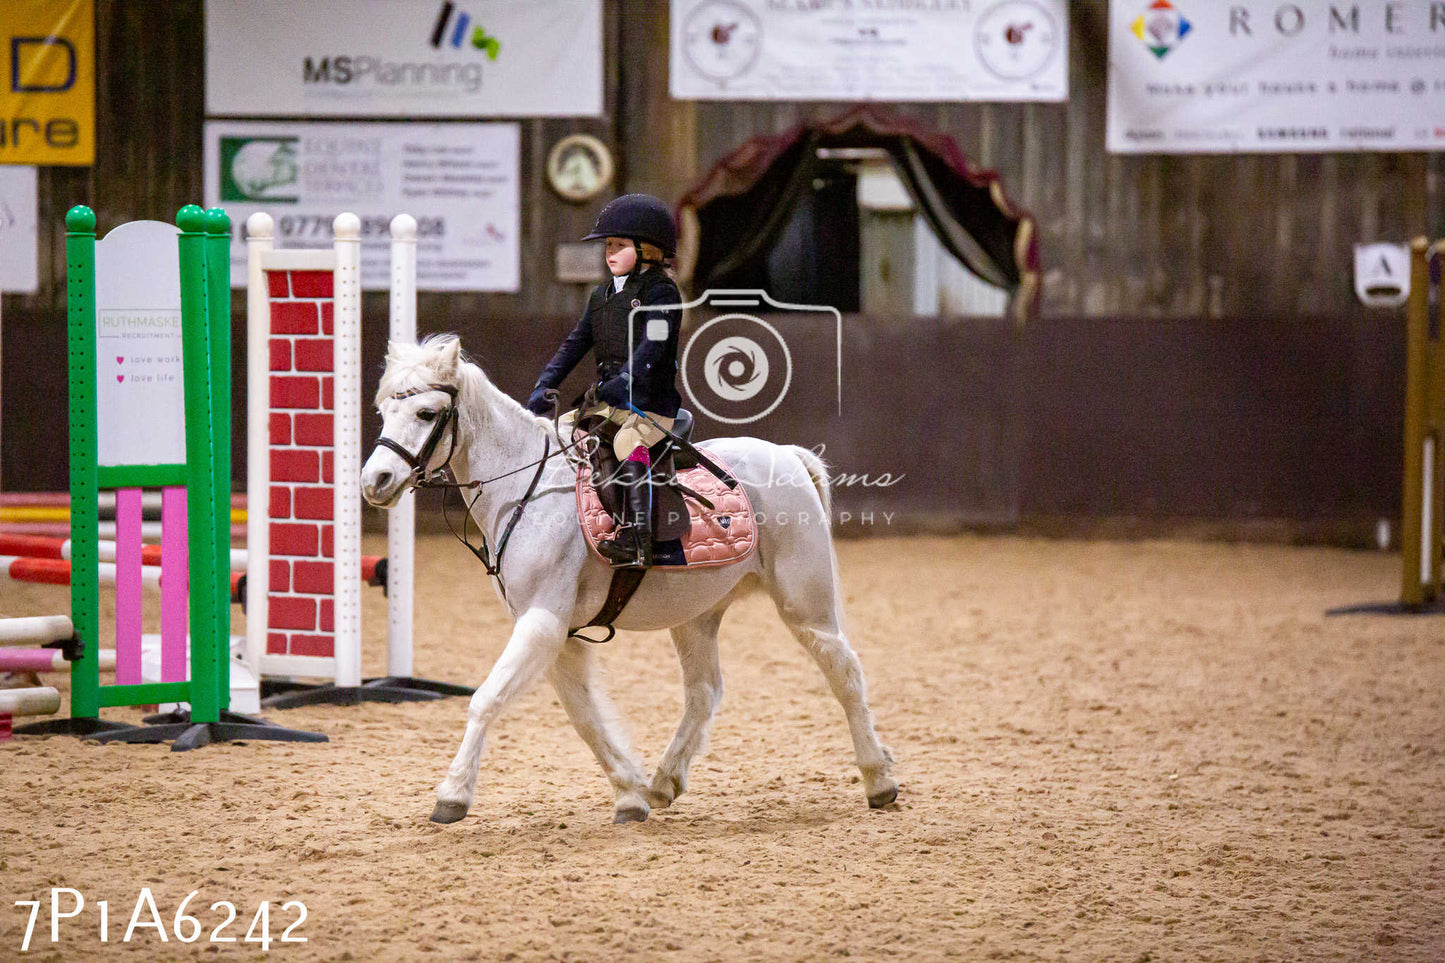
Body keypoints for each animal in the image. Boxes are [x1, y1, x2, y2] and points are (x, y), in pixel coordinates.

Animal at [361, 335, 890, 815]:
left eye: (426, 414)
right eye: (384, 411)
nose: (375, 482)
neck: (525, 488)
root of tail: (786, 455)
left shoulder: (542, 622)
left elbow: (486, 699)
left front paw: (452, 795)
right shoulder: (557, 633)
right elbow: (584, 716)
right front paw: (630, 793)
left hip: (804, 603)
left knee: (844, 670)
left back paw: (879, 779)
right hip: (695, 615)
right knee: (704, 691)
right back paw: (663, 781)